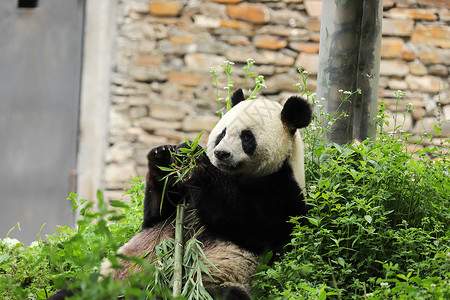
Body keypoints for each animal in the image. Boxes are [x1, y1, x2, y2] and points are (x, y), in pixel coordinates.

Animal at [47, 89, 312, 300]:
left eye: (247, 137)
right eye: (222, 133)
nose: (221, 153)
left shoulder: (282, 191)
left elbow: (251, 222)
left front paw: (197, 161)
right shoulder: (185, 197)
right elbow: (157, 215)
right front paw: (164, 155)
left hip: (210, 282)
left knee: (226, 294)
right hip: (105, 279)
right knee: (71, 291)